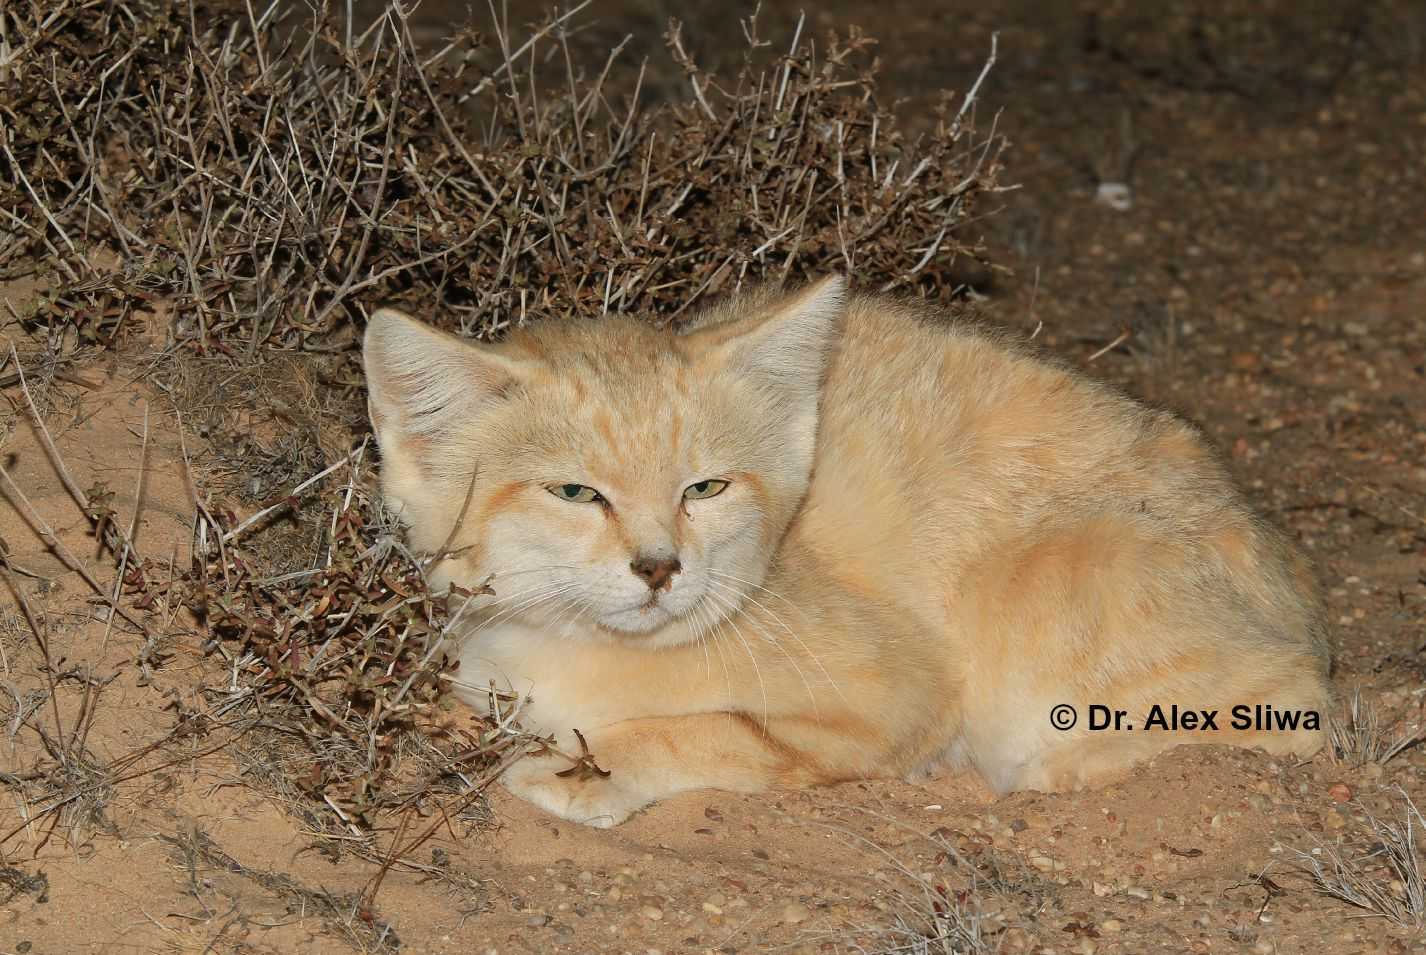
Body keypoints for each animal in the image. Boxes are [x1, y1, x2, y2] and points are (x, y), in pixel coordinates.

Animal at [362, 276, 1329, 832]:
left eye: (704, 488)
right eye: (575, 493)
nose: (660, 567)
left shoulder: (908, 691)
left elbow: (715, 729)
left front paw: (582, 767)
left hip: (1041, 619)